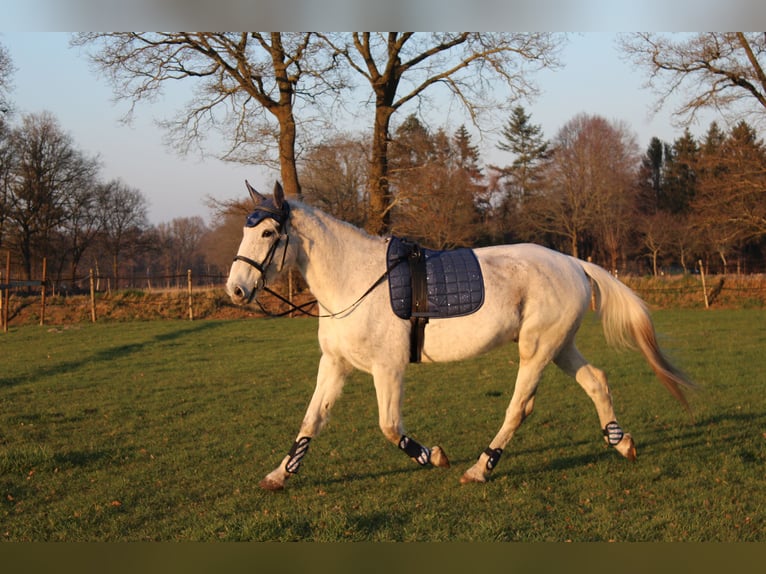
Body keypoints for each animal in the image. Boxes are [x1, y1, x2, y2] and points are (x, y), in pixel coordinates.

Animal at [226, 182, 696, 491]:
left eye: (267, 232)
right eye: (246, 231)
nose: (236, 290)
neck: (355, 281)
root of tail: (573, 262)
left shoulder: (388, 368)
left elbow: (389, 425)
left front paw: (433, 456)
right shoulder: (336, 364)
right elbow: (312, 420)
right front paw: (279, 475)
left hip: (538, 350)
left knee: (519, 408)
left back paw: (480, 468)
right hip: (560, 347)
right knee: (596, 381)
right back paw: (621, 443)